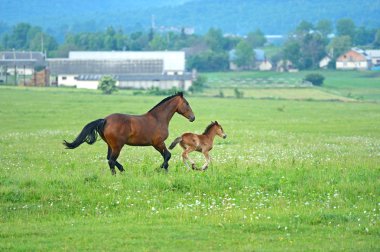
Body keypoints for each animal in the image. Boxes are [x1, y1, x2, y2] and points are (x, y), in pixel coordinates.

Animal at [63, 91, 194, 174]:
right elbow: (167, 155)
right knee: (111, 160)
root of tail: (105, 120)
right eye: (187, 103)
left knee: (109, 159)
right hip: (117, 145)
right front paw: (161, 169)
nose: (193, 117)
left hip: (110, 145)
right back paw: (118, 174)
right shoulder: (158, 143)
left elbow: (166, 155)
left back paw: (122, 170)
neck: (158, 118)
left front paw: (164, 170)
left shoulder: (158, 144)